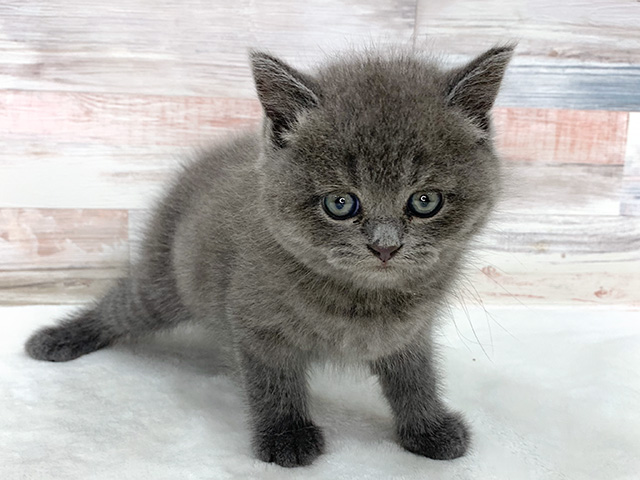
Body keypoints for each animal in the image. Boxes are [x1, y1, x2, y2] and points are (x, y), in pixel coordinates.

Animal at [26, 44, 516, 464]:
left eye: (425, 201)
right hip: (166, 283)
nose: (385, 246)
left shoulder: (409, 332)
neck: (362, 297)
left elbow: (415, 378)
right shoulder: (256, 322)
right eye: (341, 203)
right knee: (122, 305)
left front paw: (428, 428)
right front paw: (286, 436)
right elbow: (273, 380)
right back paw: (57, 339)